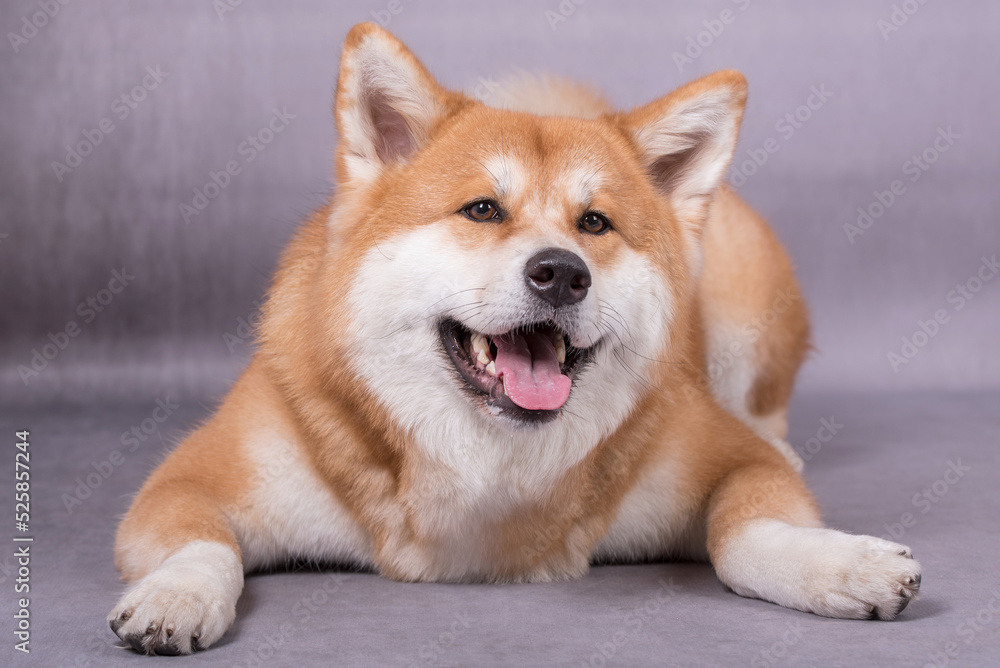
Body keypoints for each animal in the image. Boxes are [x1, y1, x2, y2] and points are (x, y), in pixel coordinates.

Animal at [109, 22, 920, 656]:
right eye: (482, 209)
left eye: (595, 223)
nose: (562, 273)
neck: (490, 467)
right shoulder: (192, 476)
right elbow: (201, 540)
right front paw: (176, 595)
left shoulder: (722, 457)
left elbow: (746, 529)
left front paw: (843, 566)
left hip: (749, 317)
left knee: (764, 413)